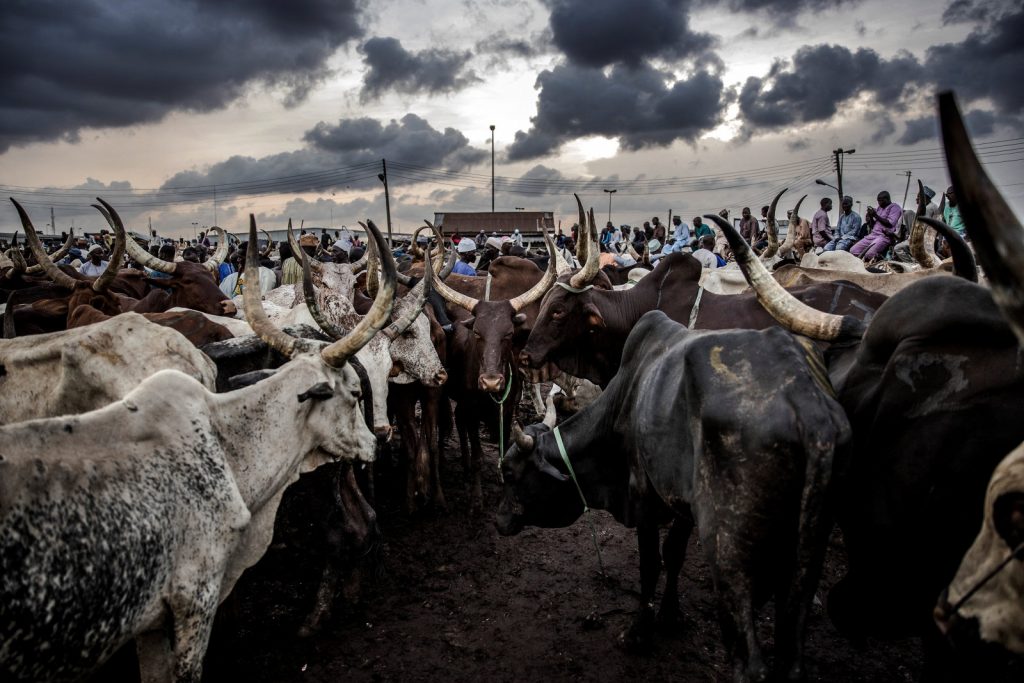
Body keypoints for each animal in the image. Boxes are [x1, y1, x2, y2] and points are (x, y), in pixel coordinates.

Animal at [495, 313, 847, 679]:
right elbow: (674, 554)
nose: (498, 521)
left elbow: (650, 564)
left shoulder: (642, 498)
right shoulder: (682, 505)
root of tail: (810, 410)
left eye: (510, 473)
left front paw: (638, 634)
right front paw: (670, 615)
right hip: (805, 556)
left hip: (729, 553)